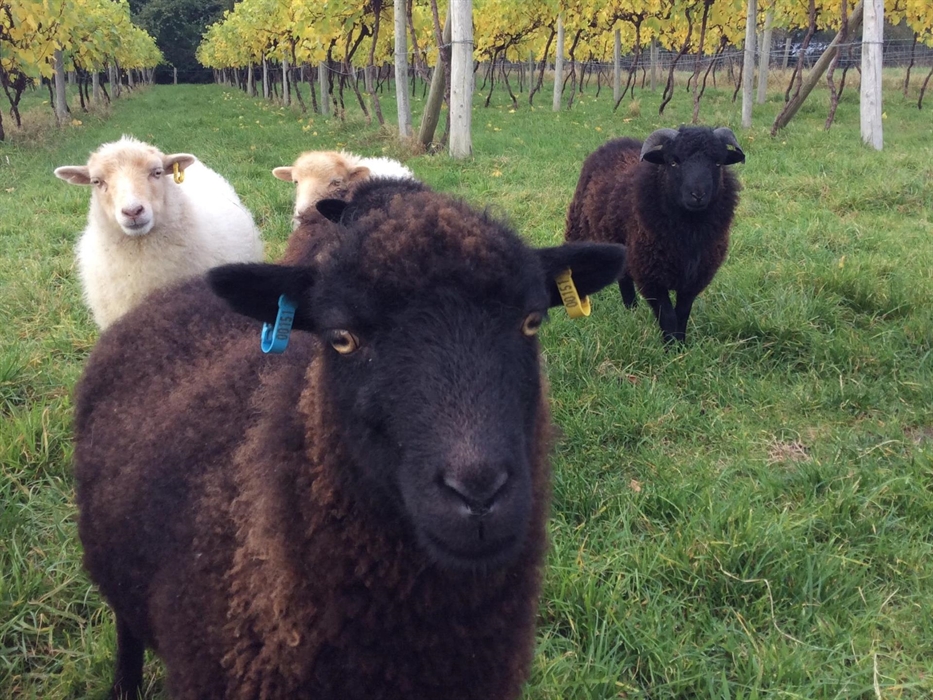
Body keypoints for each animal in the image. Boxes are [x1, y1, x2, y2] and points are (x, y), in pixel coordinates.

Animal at [565, 125, 746, 343]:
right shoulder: (650, 275)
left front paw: (681, 344)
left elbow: (682, 313)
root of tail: (616, 141)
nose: (697, 195)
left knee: (624, 279)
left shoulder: (694, 277)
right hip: (579, 228)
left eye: (718, 162)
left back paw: (631, 311)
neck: (689, 230)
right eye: (673, 161)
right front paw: (670, 347)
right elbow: (667, 316)